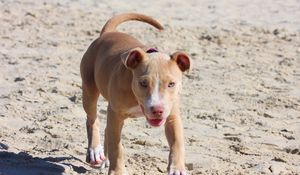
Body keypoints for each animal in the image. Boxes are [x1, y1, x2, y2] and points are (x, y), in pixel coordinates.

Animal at [80, 12, 190, 175]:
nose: (157, 110)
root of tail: (107, 33)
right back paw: (95, 150)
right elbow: (117, 148)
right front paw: (117, 171)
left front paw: (177, 168)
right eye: (143, 83)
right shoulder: (116, 115)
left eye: (171, 84)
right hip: (89, 89)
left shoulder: (172, 115)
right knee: (92, 119)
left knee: (106, 128)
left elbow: (177, 141)